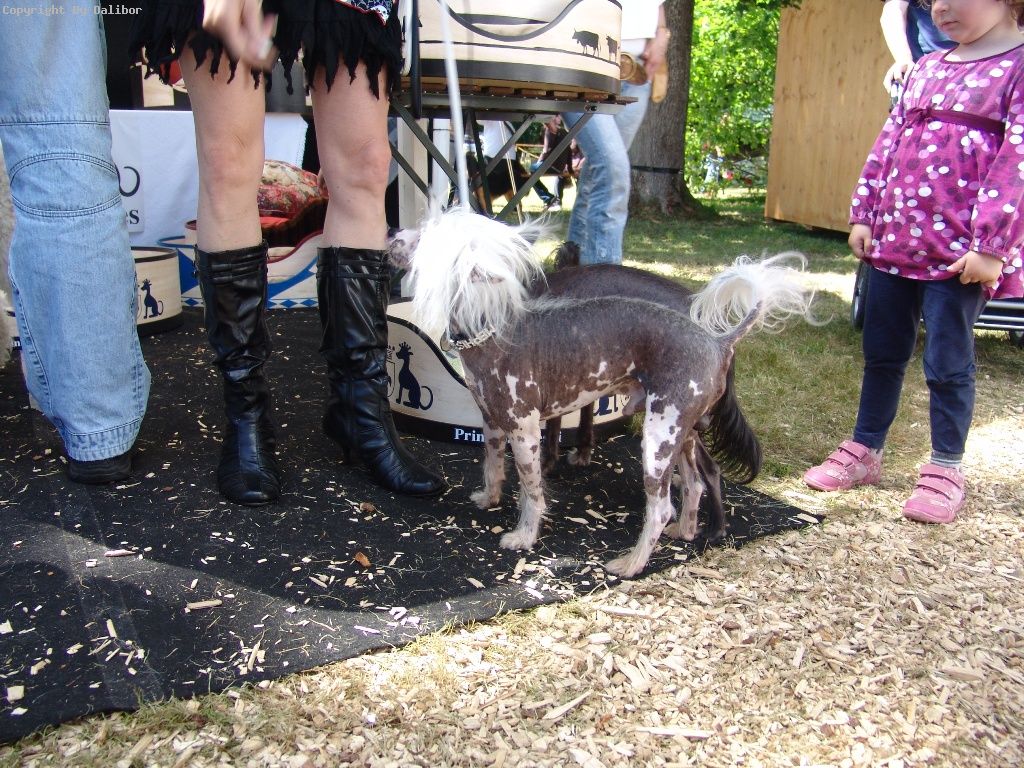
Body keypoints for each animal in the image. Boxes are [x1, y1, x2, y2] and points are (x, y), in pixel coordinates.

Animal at [536, 242, 763, 543]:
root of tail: (719, 338)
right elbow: (585, 414)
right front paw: (583, 452)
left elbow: (554, 427)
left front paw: (549, 461)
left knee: (710, 469)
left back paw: (715, 527)